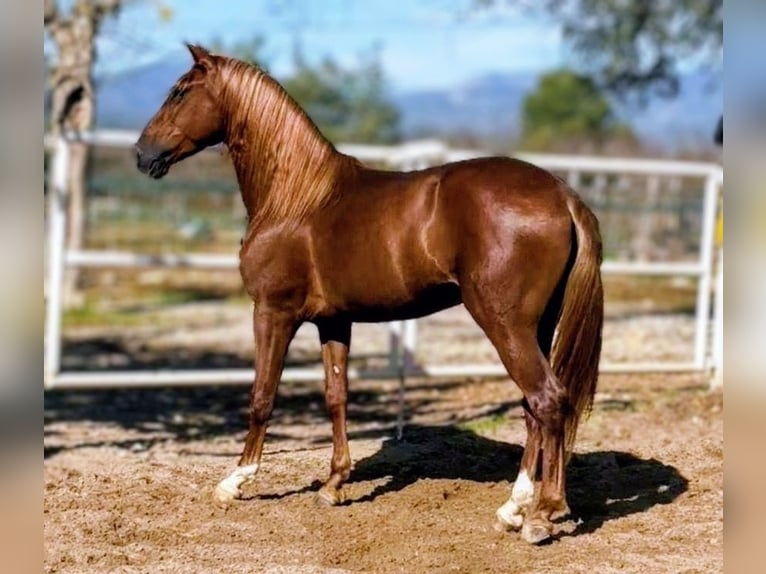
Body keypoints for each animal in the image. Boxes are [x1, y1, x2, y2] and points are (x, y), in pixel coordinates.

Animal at [135, 44, 603, 545]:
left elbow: (262, 395)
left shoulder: (272, 312)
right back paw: (513, 508)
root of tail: (561, 194)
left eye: (180, 91)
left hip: (505, 324)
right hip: (538, 327)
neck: (296, 198)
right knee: (534, 407)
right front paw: (334, 484)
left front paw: (236, 481)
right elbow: (336, 395)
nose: (141, 154)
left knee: (547, 399)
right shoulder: (334, 321)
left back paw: (542, 514)